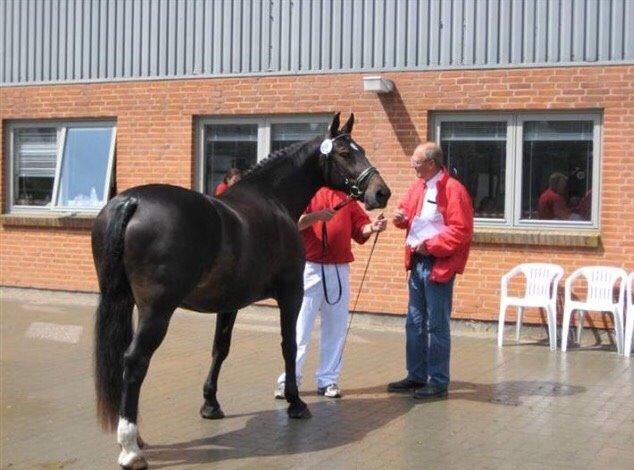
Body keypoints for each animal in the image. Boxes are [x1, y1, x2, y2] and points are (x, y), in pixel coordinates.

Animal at [90, 113, 388, 466]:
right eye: (344, 153)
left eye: (362, 150)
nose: (381, 192)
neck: (273, 199)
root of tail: (131, 201)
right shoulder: (291, 294)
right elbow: (289, 345)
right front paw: (295, 403)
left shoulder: (228, 302)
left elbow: (220, 349)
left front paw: (210, 404)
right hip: (157, 311)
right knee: (135, 361)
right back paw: (130, 447)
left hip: (122, 300)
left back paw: (136, 436)